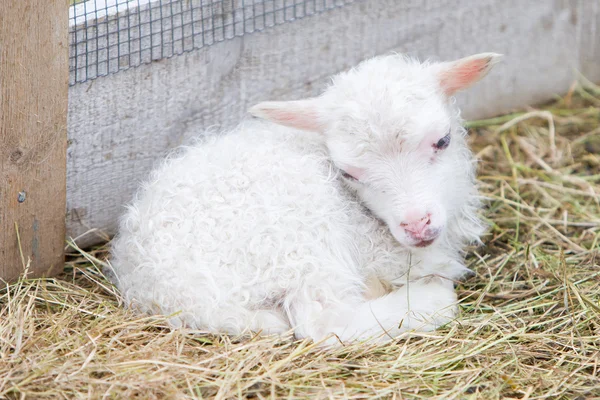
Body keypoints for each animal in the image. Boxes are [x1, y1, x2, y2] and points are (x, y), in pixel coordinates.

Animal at [109, 52, 502, 346]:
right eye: (348, 174)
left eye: (443, 141)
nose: (417, 226)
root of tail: (166, 290)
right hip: (298, 238)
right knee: (324, 321)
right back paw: (433, 299)